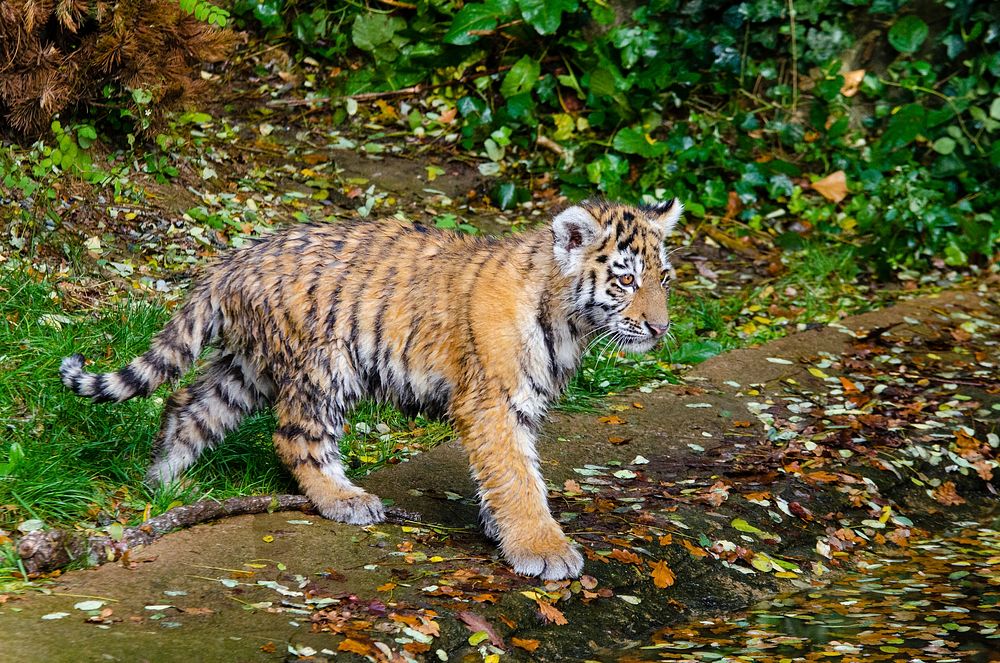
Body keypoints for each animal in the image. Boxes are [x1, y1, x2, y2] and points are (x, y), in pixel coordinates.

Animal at [62, 201, 684, 580]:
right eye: (625, 279)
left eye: (663, 279)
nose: (659, 328)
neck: (569, 319)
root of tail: (235, 257)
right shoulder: (493, 401)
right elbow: (515, 477)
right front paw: (544, 550)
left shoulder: (521, 405)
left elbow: (511, 476)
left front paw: (504, 531)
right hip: (324, 366)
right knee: (294, 438)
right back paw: (345, 500)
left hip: (247, 369)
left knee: (188, 405)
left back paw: (162, 483)